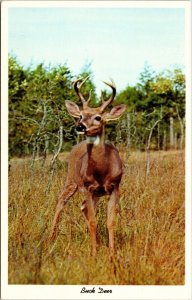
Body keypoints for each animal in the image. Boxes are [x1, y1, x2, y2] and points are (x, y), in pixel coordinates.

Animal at [49, 76, 126, 256]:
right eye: (81, 116)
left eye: (98, 117)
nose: (80, 126)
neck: (102, 171)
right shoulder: (88, 187)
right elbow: (93, 222)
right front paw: (94, 253)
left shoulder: (115, 186)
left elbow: (110, 221)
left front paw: (112, 253)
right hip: (72, 179)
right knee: (61, 201)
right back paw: (50, 238)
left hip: (96, 193)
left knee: (82, 207)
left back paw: (98, 241)